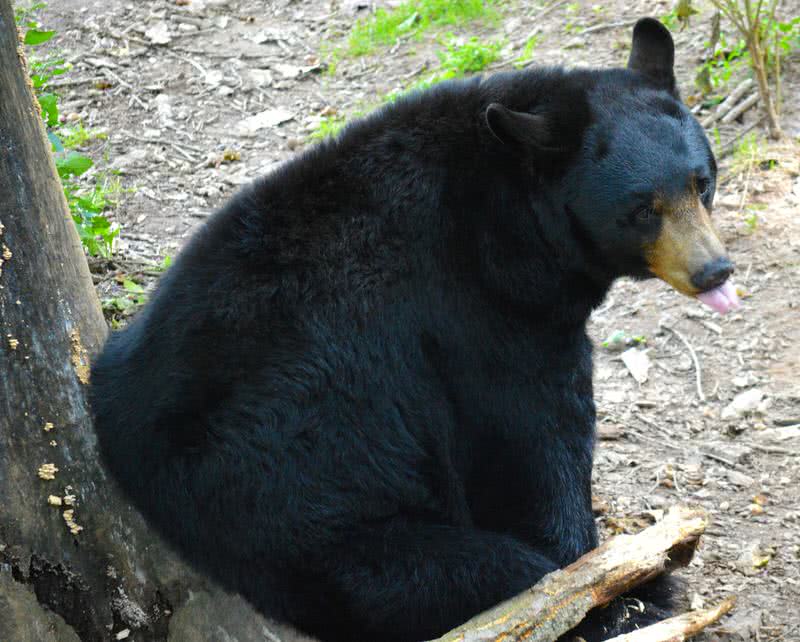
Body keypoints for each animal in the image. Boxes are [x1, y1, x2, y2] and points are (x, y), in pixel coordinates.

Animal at [89, 18, 736, 640]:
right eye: (641, 210)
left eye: (701, 183)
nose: (714, 270)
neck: (509, 217)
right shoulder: (479, 314)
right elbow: (535, 436)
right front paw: (611, 580)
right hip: (294, 504)